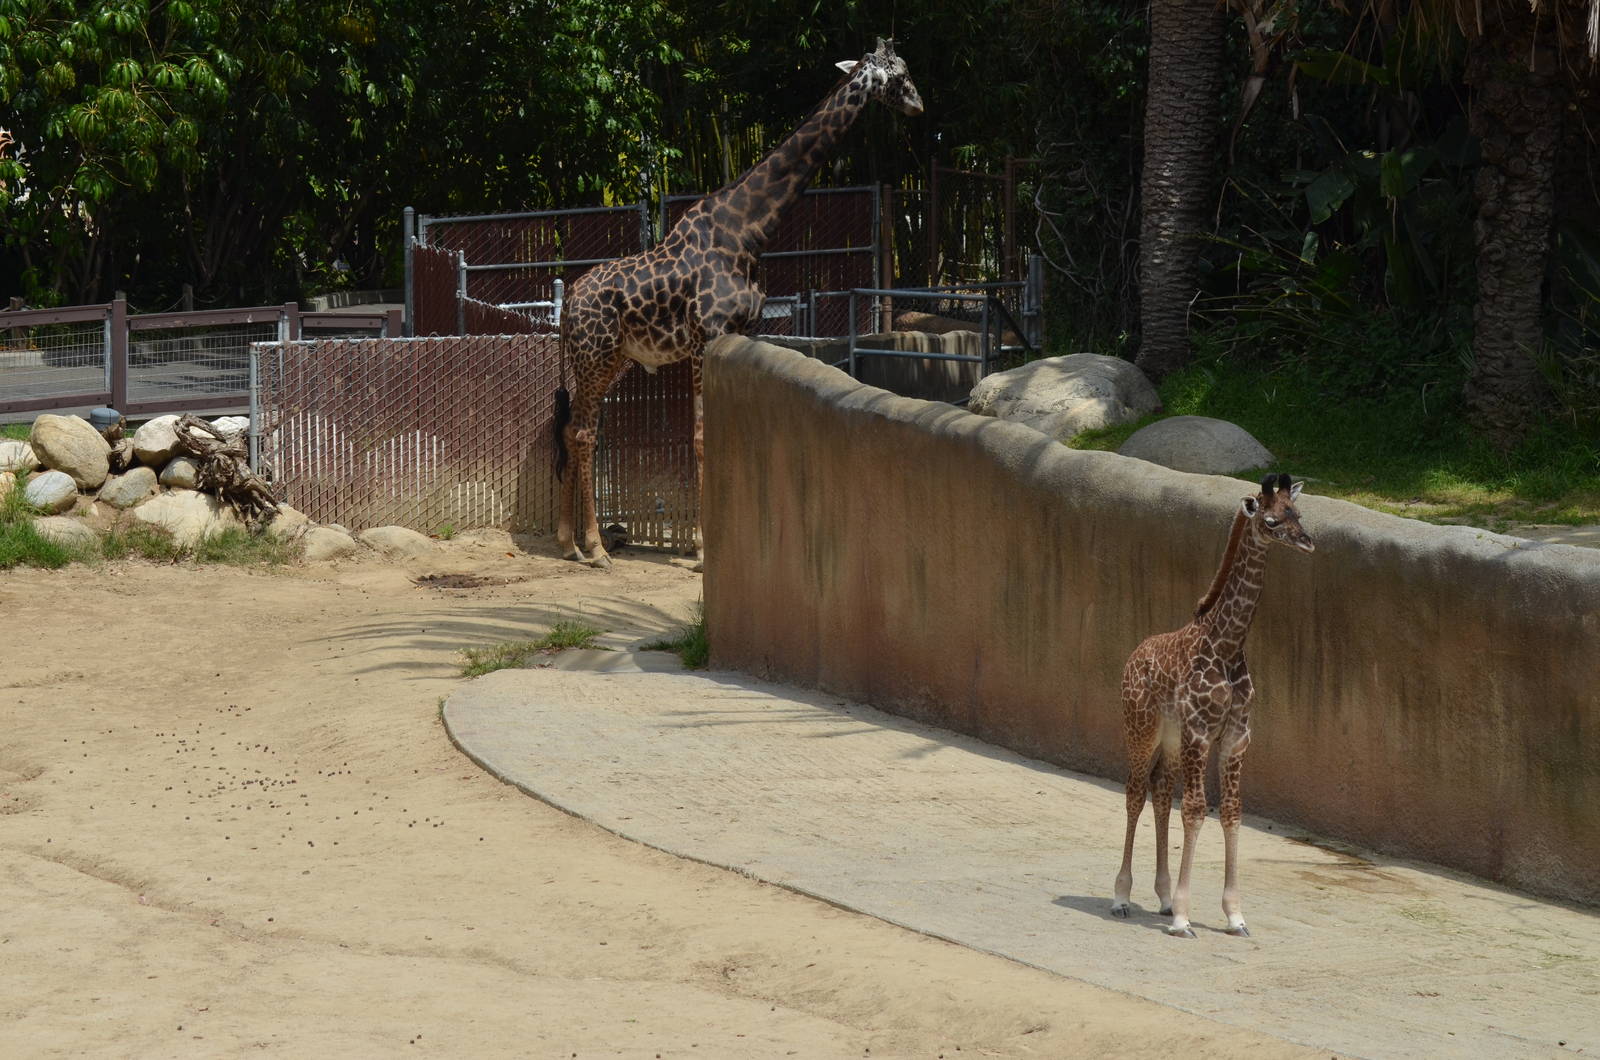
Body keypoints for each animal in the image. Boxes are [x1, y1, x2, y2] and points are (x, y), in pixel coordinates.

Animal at [552, 38, 923, 569]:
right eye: (899, 73)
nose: (918, 105)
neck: (749, 231)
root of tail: (567, 307)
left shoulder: (742, 333)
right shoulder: (706, 335)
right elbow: (703, 437)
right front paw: (703, 549)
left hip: (611, 359)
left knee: (570, 430)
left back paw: (567, 542)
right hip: (594, 355)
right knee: (583, 433)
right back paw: (597, 548)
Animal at [1111, 473, 1314, 939]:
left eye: (1297, 514)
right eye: (1272, 521)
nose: (1309, 542)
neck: (1227, 644)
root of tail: (1132, 656)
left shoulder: (1236, 736)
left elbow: (1232, 812)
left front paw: (1234, 916)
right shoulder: (1201, 732)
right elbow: (1196, 810)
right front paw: (1184, 919)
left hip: (1171, 738)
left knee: (1160, 791)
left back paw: (1163, 897)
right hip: (1141, 728)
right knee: (1134, 792)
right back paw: (1122, 897)